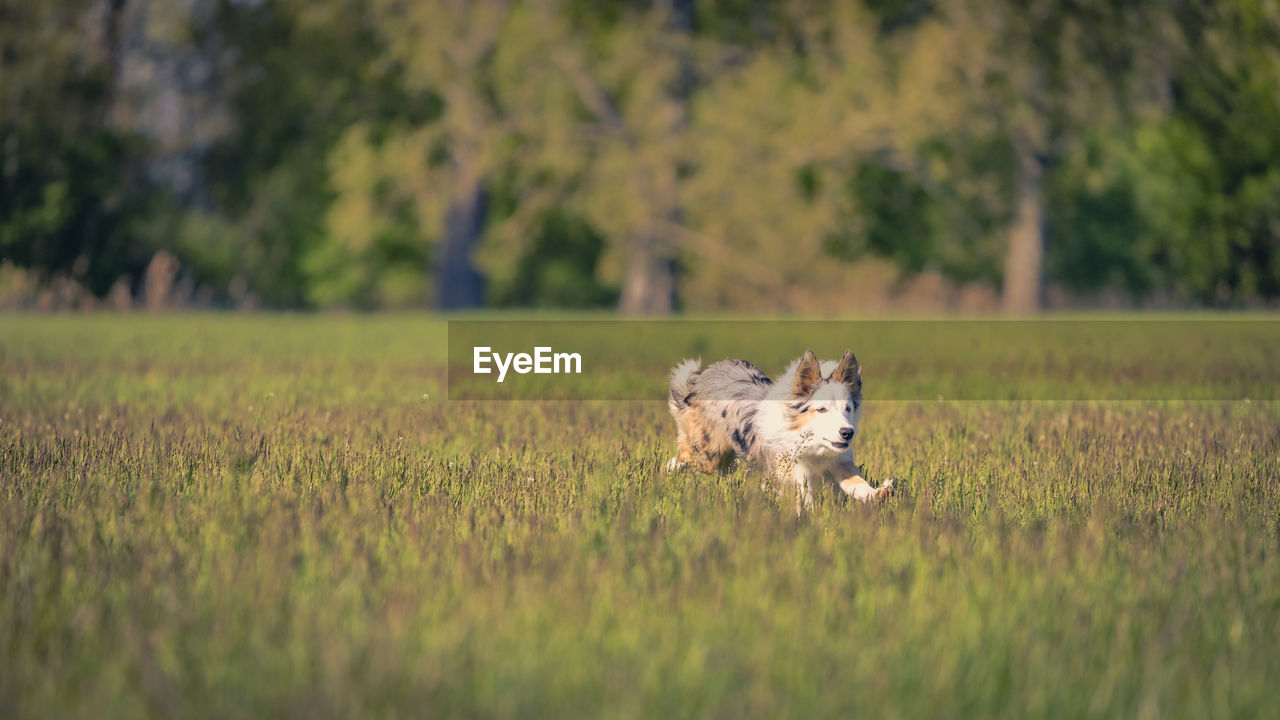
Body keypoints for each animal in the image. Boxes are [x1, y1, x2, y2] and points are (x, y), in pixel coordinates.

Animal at [665, 348, 896, 509]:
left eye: (847, 409)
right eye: (821, 409)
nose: (847, 433)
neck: (812, 445)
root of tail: (705, 375)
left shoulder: (840, 461)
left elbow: (856, 483)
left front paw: (878, 493)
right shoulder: (792, 469)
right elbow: (803, 497)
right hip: (709, 454)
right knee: (685, 455)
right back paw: (668, 470)